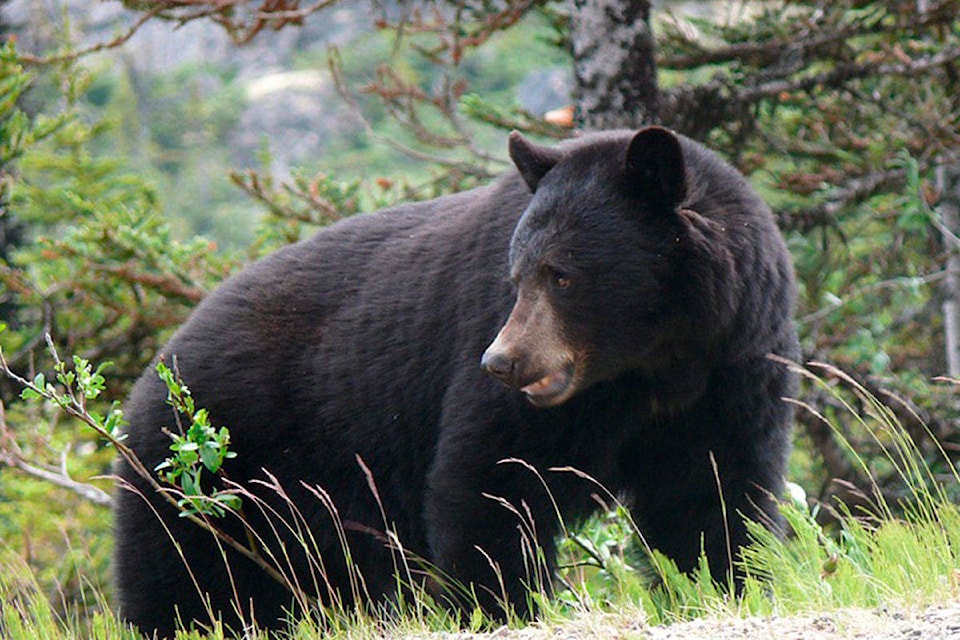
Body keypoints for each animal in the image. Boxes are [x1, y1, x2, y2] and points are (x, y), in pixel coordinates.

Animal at [114, 127, 796, 636]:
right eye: (516, 275)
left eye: (563, 275)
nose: (502, 362)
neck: (650, 366)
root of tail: (153, 373)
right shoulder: (520, 393)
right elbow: (490, 482)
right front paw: (503, 606)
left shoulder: (730, 370)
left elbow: (710, 493)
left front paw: (723, 582)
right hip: (206, 472)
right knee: (183, 580)